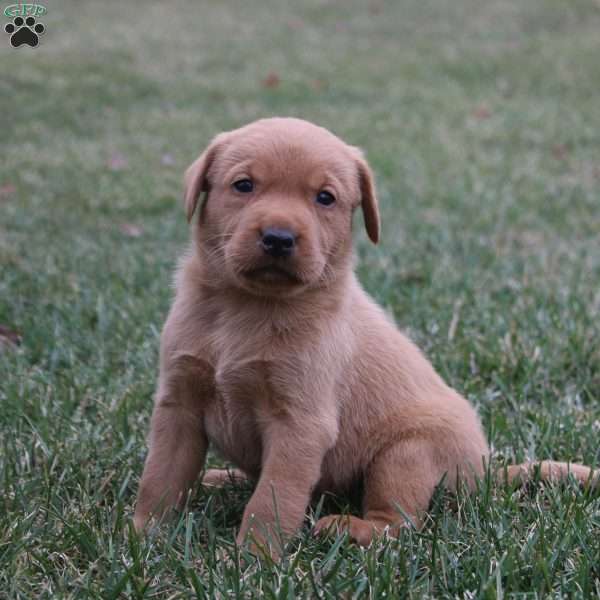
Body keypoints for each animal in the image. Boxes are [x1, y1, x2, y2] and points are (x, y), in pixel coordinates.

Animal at [134, 116, 596, 552]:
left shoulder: (300, 425)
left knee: (399, 523)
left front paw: (252, 559)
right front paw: (143, 534)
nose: (279, 238)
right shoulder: (178, 404)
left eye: (325, 197)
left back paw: (350, 528)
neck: (245, 308)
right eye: (243, 185)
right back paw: (221, 477)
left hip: (406, 455)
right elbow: (160, 478)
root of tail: (482, 470)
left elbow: (272, 499)